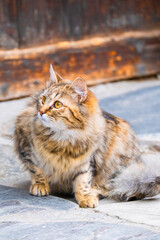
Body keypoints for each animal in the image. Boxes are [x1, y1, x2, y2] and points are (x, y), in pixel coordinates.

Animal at [14, 64, 160, 207]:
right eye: (43, 100)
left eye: (57, 104)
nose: (40, 112)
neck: (63, 137)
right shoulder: (28, 147)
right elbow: (36, 169)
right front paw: (40, 185)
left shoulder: (85, 160)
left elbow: (82, 180)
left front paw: (85, 197)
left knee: (111, 186)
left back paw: (96, 191)